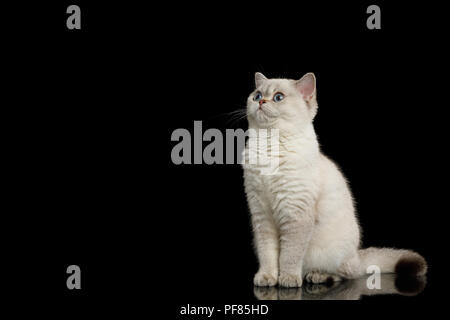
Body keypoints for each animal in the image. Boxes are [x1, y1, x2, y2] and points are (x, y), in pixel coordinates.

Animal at [243, 73, 426, 288]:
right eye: (257, 95)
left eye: (278, 97)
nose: (261, 101)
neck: (269, 147)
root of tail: (357, 255)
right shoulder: (261, 214)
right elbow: (268, 255)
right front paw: (267, 278)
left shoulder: (295, 214)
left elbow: (289, 256)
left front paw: (287, 279)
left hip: (332, 254)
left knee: (348, 274)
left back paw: (317, 276)